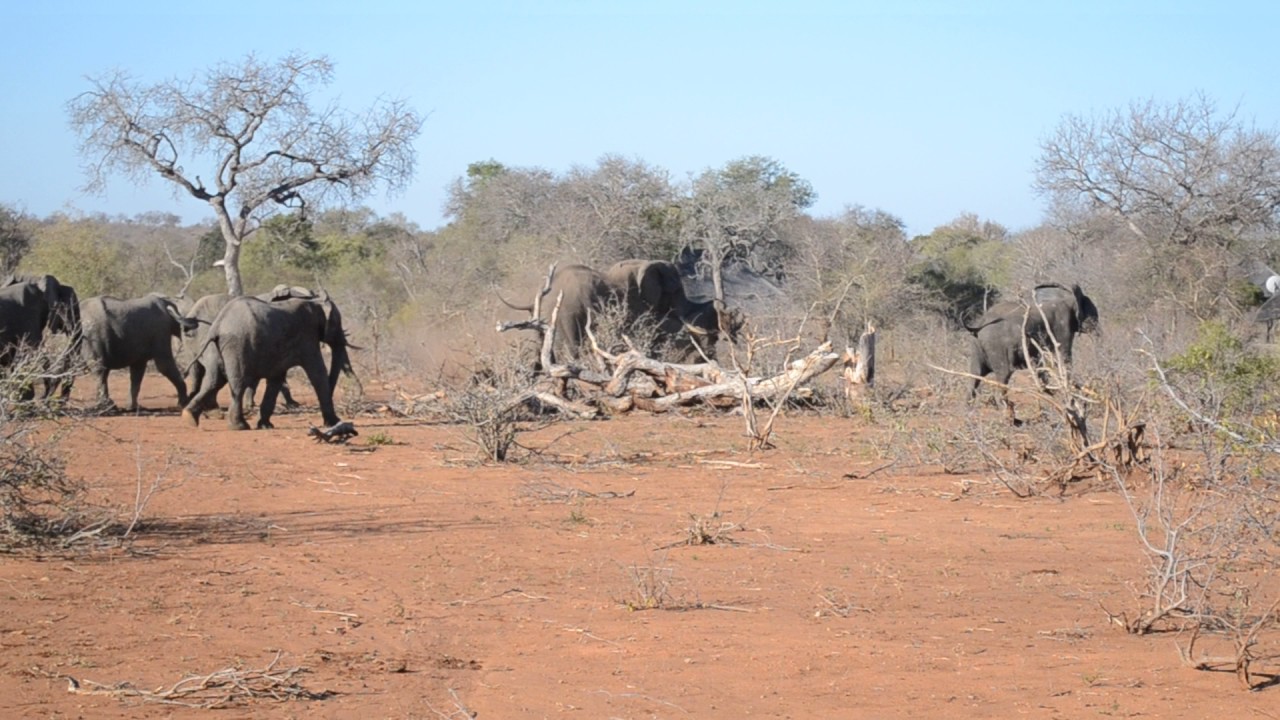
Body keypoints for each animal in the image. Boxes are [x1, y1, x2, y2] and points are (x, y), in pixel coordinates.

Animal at [182, 292, 353, 431]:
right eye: (337, 323)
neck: (314, 301)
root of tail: (217, 326)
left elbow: (276, 378)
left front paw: (265, 425)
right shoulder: (307, 337)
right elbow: (318, 373)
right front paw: (335, 423)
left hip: (219, 348)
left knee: (215, 380)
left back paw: (189, 418)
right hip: (237, 345)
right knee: (237, 383)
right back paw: (239, 426)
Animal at [964, 283, 1099, 420]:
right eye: (1093, 315)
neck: (1068, 294)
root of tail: (979, 324)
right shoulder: (1062, 325)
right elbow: (1063, 357)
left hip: (975, 346)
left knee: (974, 378)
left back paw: (969, 414)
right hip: (996, 346)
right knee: (1003, 375)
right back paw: (1011, 419)